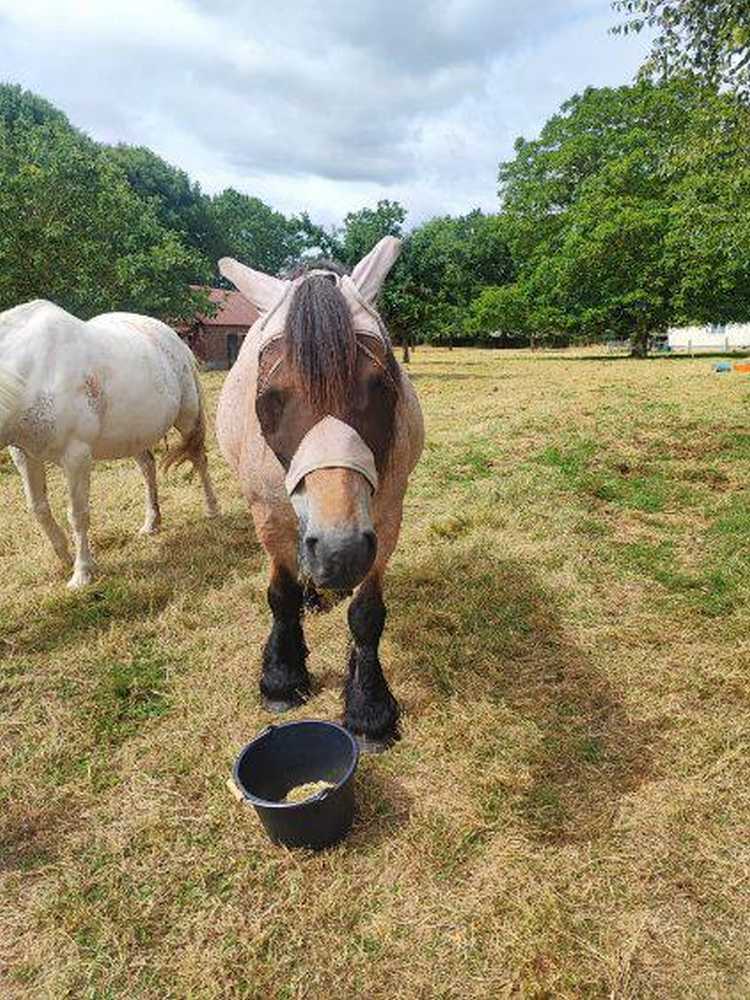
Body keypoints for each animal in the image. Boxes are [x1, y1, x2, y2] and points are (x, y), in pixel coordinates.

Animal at [0, 300, 219, 588]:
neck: (32, 371)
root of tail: (173, 338)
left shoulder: (76, 456)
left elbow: (78, 514)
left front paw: (82, 573)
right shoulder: (24, 454)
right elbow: (39, 510)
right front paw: (64, 556)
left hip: (187, 418)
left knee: (198, 459)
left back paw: (212, 508)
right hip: (135, 434)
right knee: (148, 468)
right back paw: (152, 523)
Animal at [220, 236, 426, 752]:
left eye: (381, 387)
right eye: (271, 397)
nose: (340, 552)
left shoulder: (385, 518)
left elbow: (367, 614)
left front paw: (369, 709)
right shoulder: (270, 514)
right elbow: (281, 594)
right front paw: (282, 676)